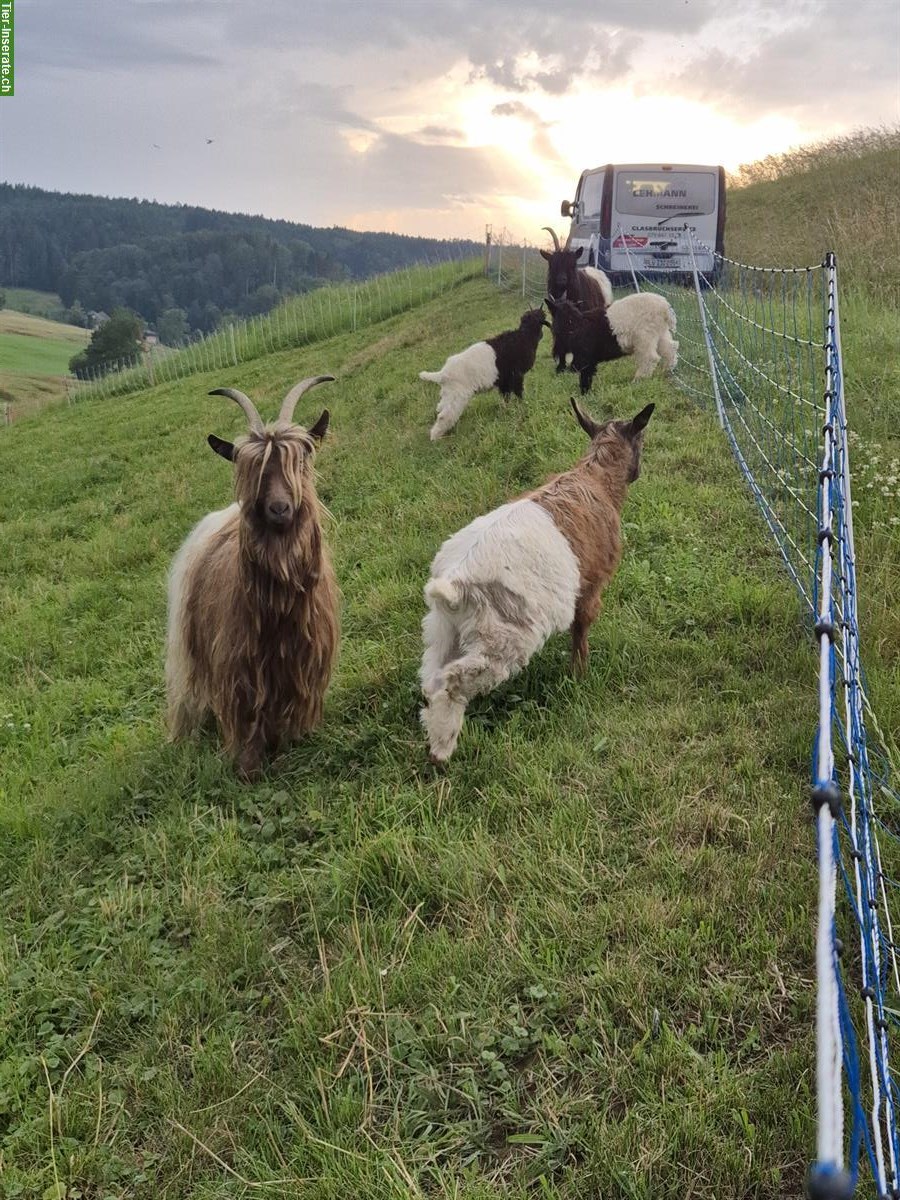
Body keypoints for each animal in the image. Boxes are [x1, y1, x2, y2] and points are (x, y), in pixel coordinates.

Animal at [166, 379, 340, 782]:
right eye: (253, 471)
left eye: (300, 462)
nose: (280, 508)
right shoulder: (237, 665)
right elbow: (244, 715)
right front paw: (248, 766)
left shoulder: (304, 659)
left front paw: (294, 739)